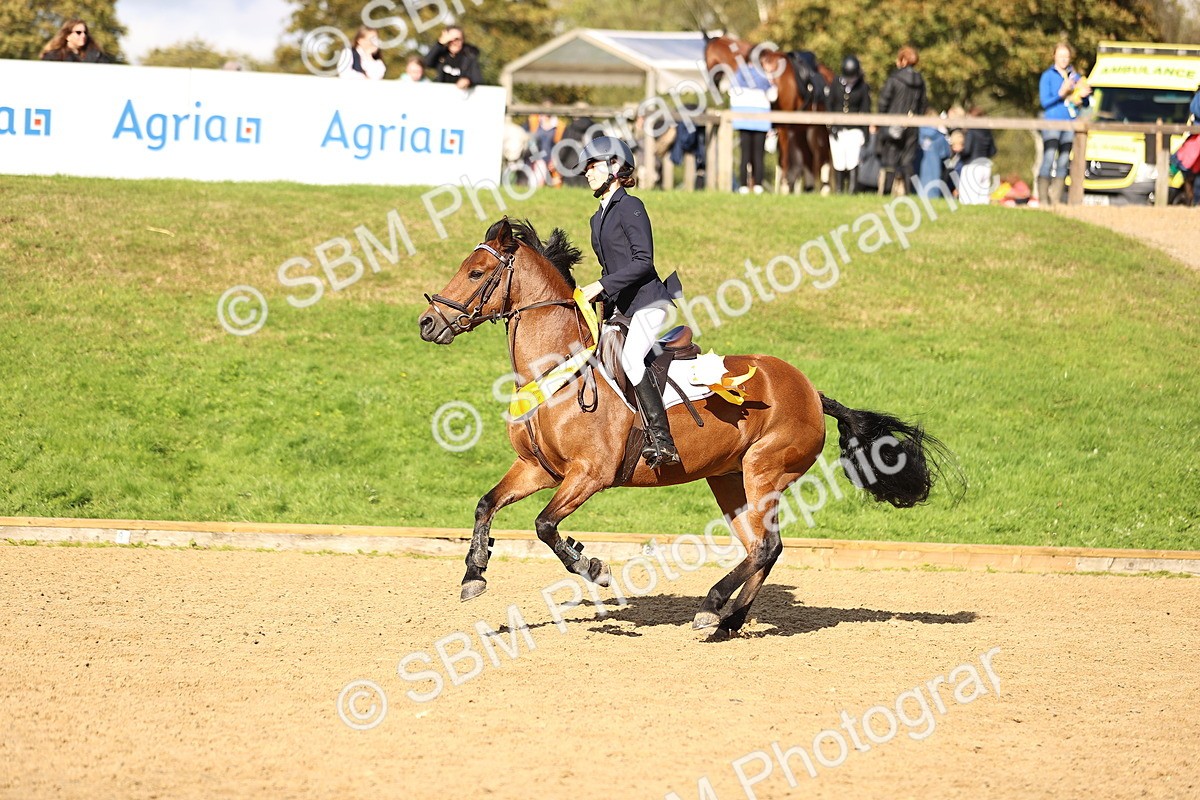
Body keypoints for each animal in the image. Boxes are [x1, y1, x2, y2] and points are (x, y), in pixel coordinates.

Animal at [419, 218, 954, 639]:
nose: (427, 322)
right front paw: (474, 574)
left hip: (764, 469)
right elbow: (486, 504)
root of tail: (810, 389)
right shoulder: (538, 469)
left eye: (476, 272)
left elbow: (545, 526)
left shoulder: (589, 474)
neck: (559, 372)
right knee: (761, 548)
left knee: (767, 546)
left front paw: (593, 566)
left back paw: (714, 605)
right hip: (729, 480)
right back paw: (727, 620)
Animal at [703, 33, 834, 194]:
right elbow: (753, 158)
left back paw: (823, 189)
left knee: (824, 155)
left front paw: (783, 187)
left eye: (709, 56)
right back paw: (808, 188)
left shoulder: (783, 126)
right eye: (705, 56)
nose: (713, 84)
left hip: (820, 128)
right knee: (808, 156)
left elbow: (782, 158)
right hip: (801, 129)